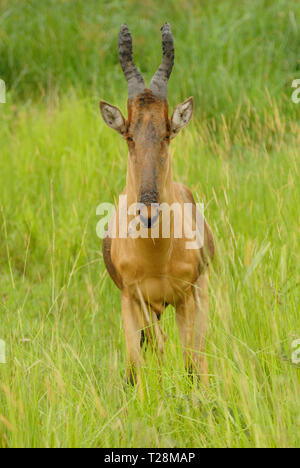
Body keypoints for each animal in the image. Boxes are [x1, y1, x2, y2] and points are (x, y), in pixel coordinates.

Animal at [99, 22, 214, 384]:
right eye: (128, 135)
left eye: (167, 133)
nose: (148, 212)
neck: (156, 253)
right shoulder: (132, 299)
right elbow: (144, 362)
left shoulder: (187, 297)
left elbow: (191, 363)